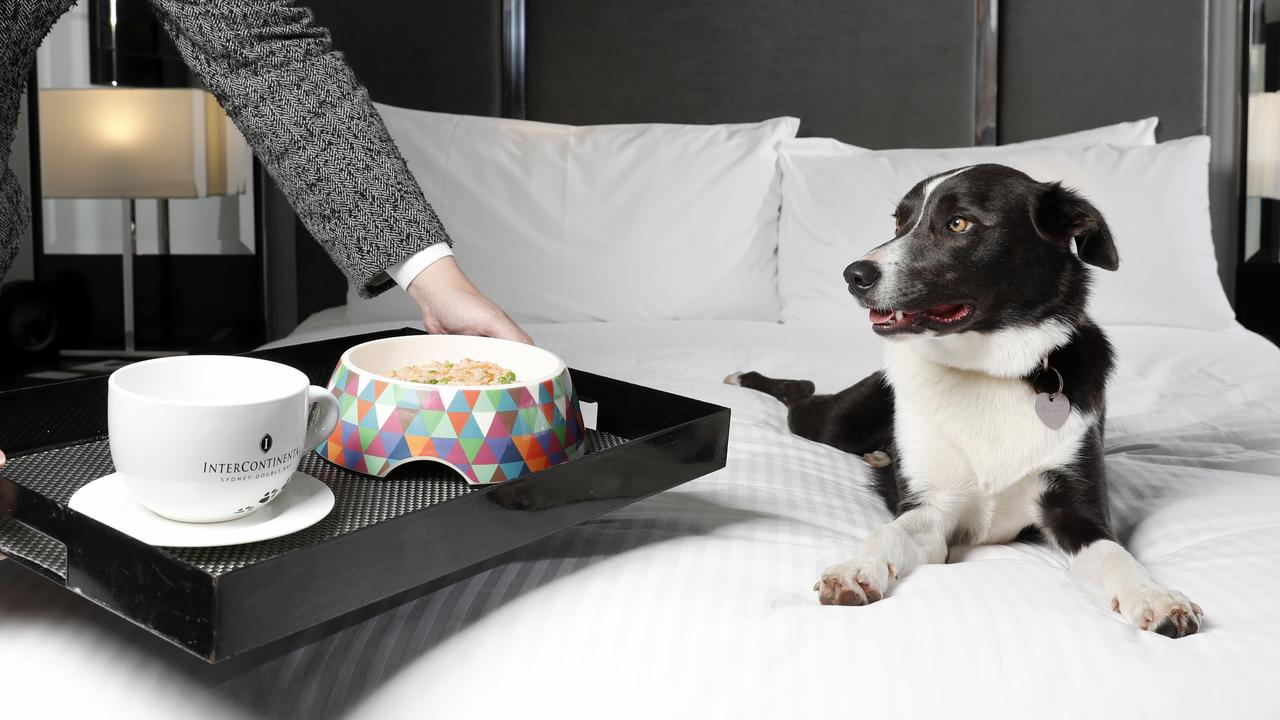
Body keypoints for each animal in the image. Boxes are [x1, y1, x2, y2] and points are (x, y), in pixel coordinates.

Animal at [727, 162, 1203, 632]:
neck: (988, 371)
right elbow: (888, 532)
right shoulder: (932, 510)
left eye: (959, 223)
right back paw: (745, 379)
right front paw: (855, 570)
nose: (853, 275)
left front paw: (1154, 595)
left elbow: (1117, 556)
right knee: (799, 394)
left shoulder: (1076, 509)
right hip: (835, 422)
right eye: (899, 222)